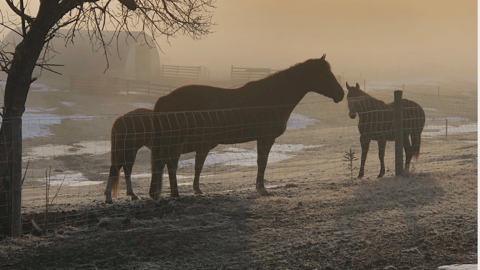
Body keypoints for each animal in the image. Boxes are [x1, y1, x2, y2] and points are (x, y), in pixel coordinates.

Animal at [150, 54, 344, 198]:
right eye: (324, 74)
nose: (341, 94)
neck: (273, 98)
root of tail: (165, 98)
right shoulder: (266, 138)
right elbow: (262, 162)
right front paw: (261, 188)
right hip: (177, 140)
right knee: (171, 163)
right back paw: (176, 194)